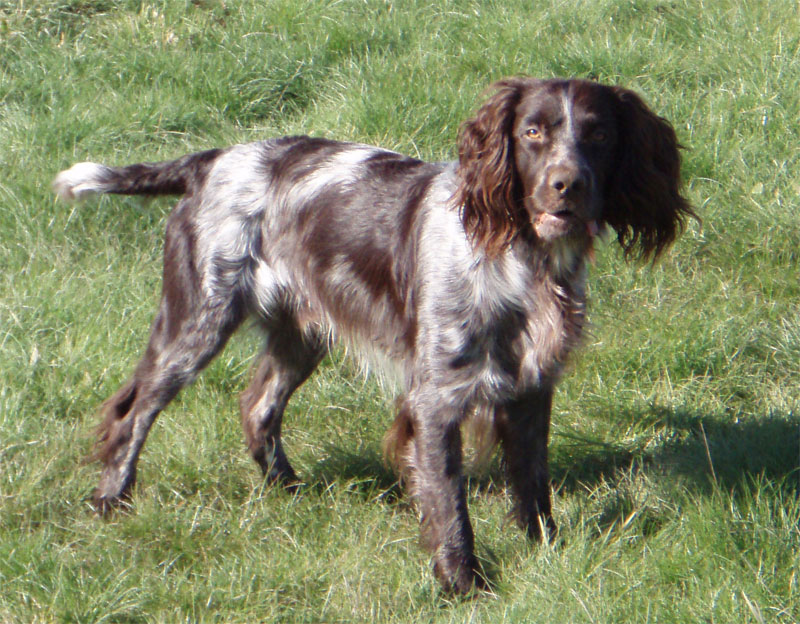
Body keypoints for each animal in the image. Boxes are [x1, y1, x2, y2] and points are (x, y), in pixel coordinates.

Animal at [56, 79, 692, 596]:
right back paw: (110, 502)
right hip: (198, 320)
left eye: (600, 133)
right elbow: (449, 503)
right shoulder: (436, 398)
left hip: (301, 331)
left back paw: (289, 490)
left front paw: (547, 554)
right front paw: (463, 585)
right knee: (134, 411)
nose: (568, 185)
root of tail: (212, 159)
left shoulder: (533, 386)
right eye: (532, 131)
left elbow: (533, 486)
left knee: (257, 405)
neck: (522, 259)